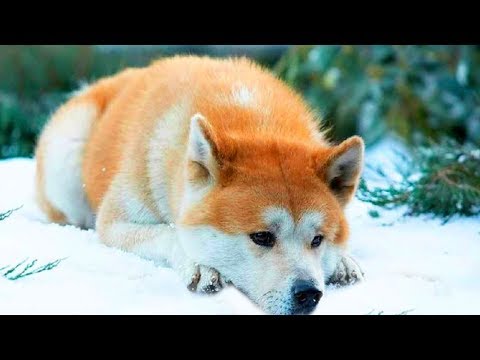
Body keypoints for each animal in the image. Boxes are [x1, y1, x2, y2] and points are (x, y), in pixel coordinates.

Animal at [33, 54, 364, 314]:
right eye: (261, 237)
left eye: (318, 239)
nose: (309, 293)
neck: (252, 120)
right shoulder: (115, 223)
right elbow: (168, 233)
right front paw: (200, 265)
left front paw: (343, 261)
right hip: (66, 157)